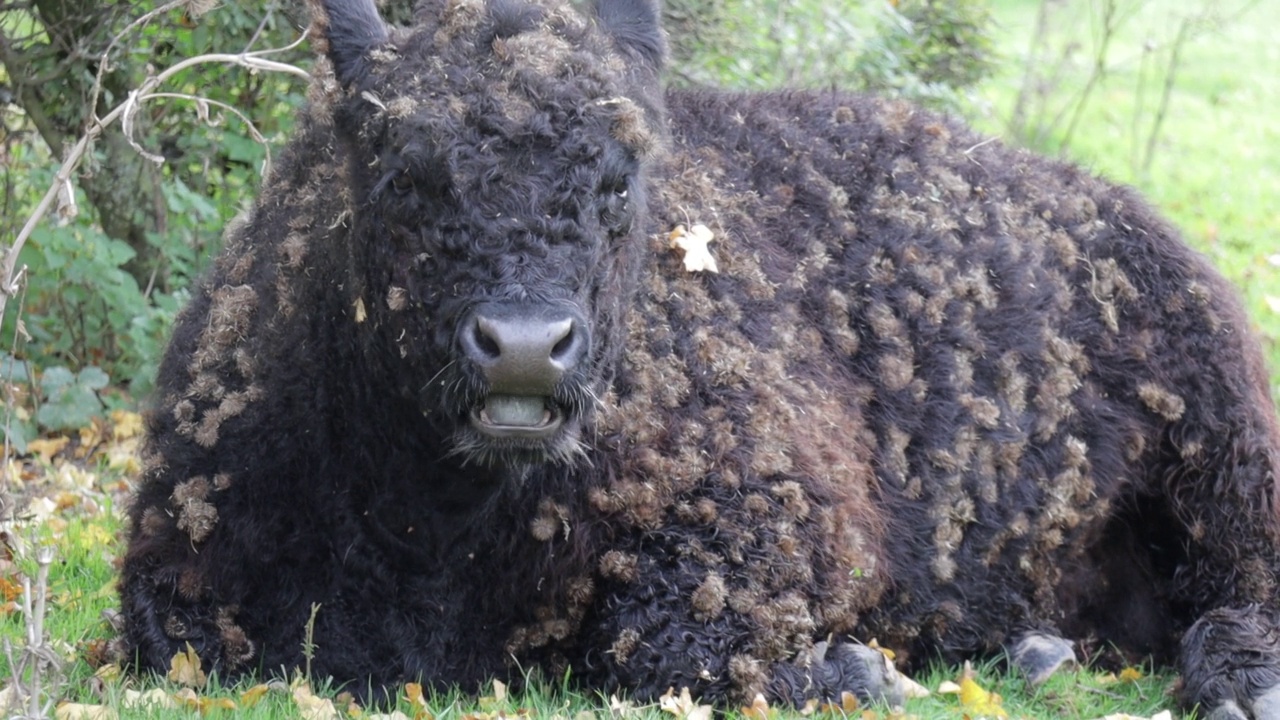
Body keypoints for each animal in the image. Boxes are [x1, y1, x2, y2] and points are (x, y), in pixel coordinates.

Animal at [117, 0, 1280, 707]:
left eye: (618, 181)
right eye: (402, 173)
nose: (524, 350)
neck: (441, 523)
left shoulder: (782, 524)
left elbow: (659, 646)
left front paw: (858, 670)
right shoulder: (179, 590)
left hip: (1224, 453)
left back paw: (1235, 677)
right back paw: (1039, 647)